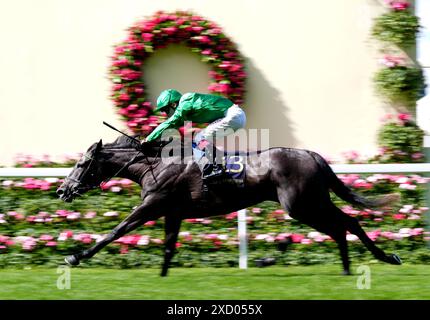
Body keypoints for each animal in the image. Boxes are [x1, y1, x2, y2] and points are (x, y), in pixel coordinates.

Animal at [57, 136, 404, 276]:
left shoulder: (152, 206)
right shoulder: (172, 212)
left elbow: (115, 232)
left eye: (82, 163)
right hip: (313, 202)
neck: (153, 164)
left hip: (303, 205)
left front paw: (75, 256)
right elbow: (168, 246)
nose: (63, 190)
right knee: (345, 225)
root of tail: (312, 155)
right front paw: (163, 277)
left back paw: (377, 260)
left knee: (343, 225)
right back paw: (359, 264)